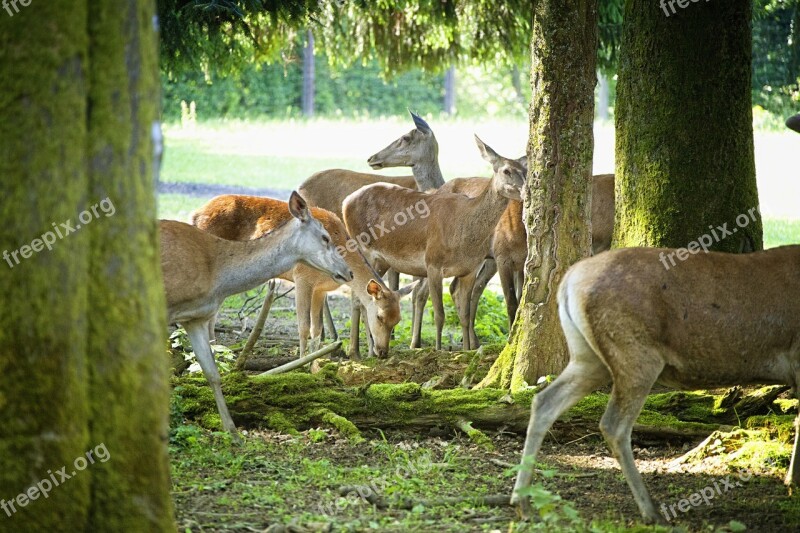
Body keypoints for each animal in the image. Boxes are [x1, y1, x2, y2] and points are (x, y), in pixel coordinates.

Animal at [161, 190, 352, 432]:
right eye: (325, 237)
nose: (348, 271)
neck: (215, 274)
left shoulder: (195, 316)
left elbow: (211, 371)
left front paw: (232, 431)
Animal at [191, 194, 416, 358]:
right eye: (379, 316)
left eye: (398, 320)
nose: (383, 352)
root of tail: (195, 215)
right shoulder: (302, 279)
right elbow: (303, 327)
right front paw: (300, 363)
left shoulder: (321, 289)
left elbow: (317, 329)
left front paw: (315, 364)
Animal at [342, 137, 524, 352]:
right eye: (507, 170)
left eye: (524, 169)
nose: (526, 189)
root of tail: (345, 201)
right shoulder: (433, 263)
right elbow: (439, 314)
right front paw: (438, 349)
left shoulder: (470, 269)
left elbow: (464, 314)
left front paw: (466, 349)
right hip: (362, 249)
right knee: (357, 297)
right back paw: (359, 351)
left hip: (382, 261)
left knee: (364, 296)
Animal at [512, 246, 800, 524]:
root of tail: (568, 282)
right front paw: (792, 484)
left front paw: (791, 482)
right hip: (637, 355)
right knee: (614, 425)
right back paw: (651, 511)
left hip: (587, 358)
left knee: (544, 401)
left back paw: (522, 502)